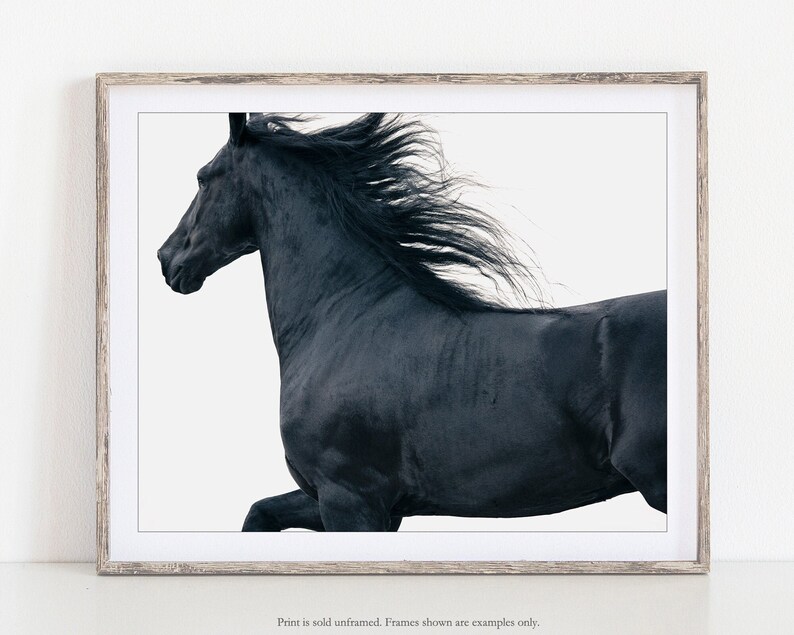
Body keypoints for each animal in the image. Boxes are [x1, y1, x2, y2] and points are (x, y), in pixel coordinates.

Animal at [157, 113, 667, 532]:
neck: (346, 318)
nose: (167, 259)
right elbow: (257, 513)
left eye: (202, 178)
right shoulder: (357, 503)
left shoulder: (348, 497)